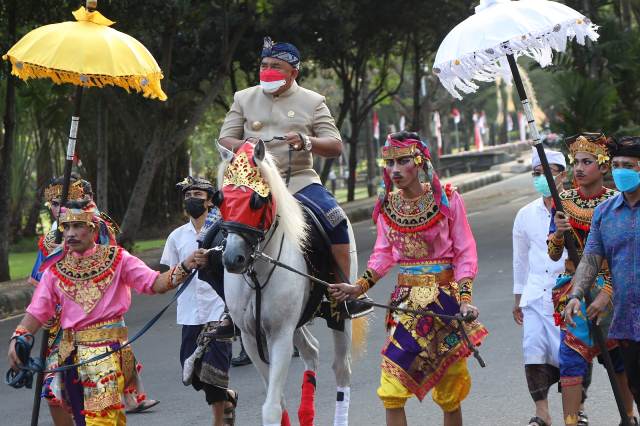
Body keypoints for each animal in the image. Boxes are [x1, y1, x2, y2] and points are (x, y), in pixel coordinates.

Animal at [216, 141, 362, 426]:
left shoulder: (280, 334)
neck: (258, 270)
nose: (232, 259)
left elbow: (272, 407)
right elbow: (277, 399)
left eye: (256, 200)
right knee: (312, 351)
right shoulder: (251, 337)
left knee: (342, 369)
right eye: (222, 199)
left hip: (340, 310)